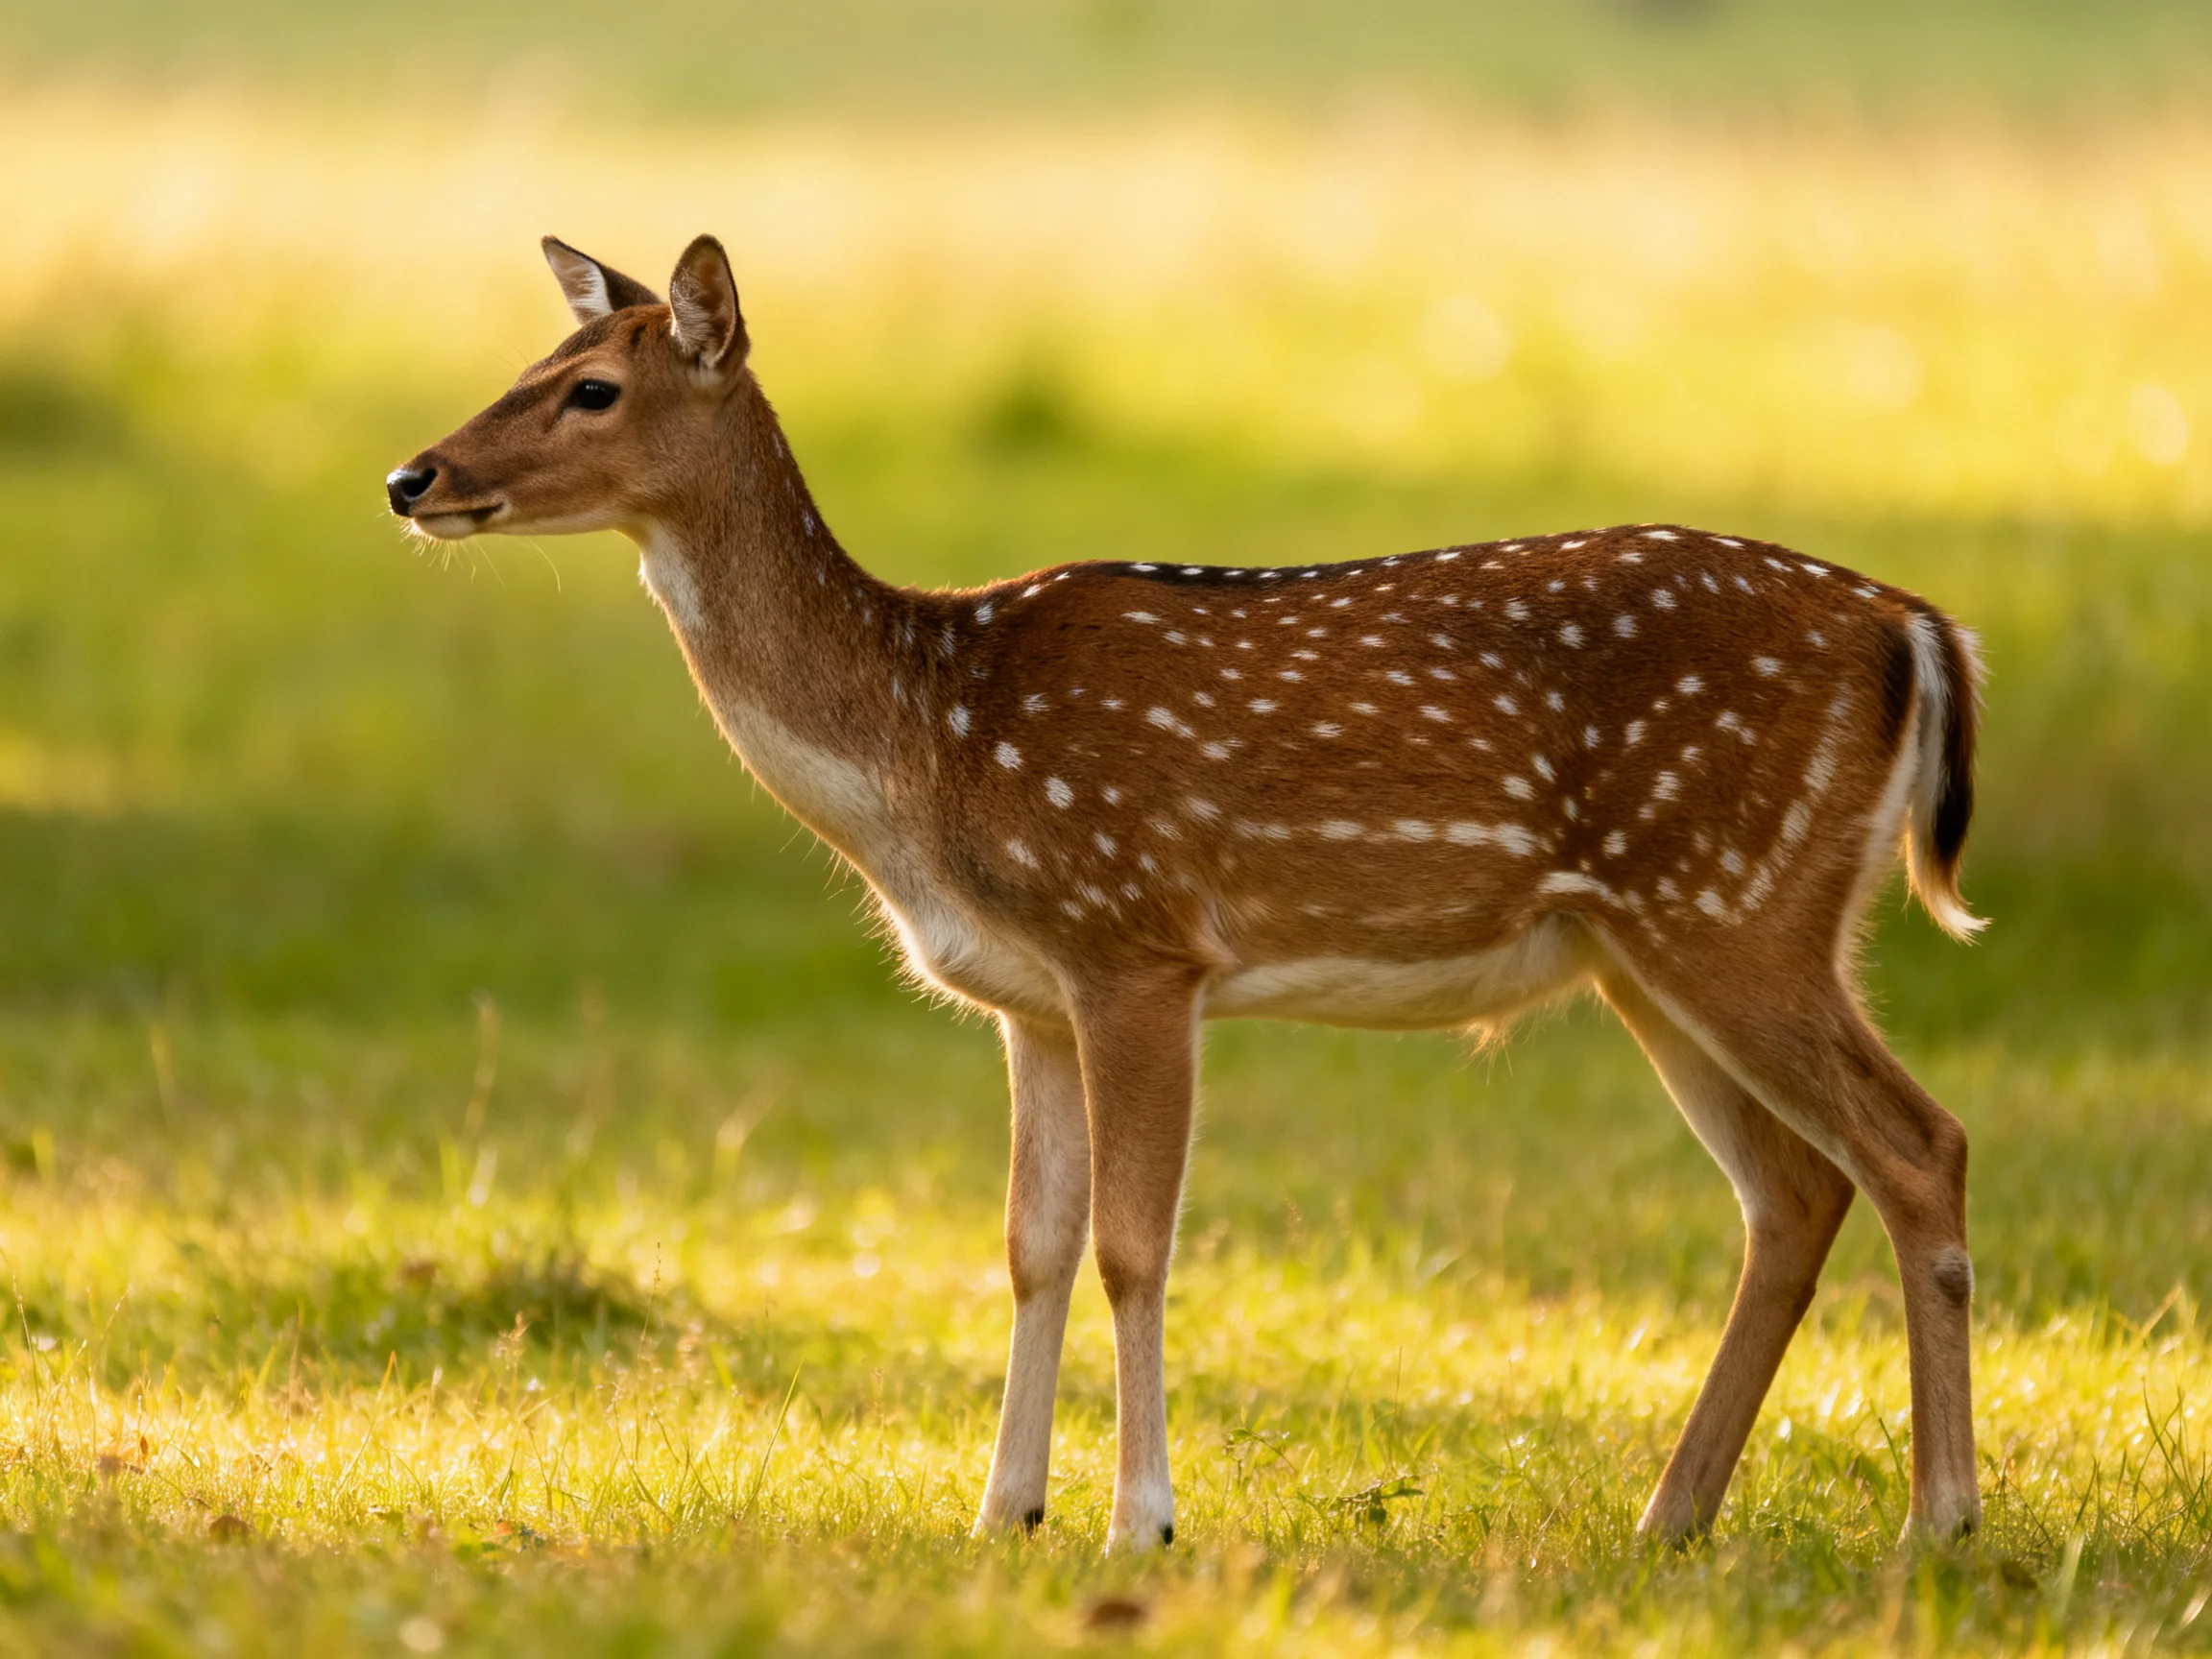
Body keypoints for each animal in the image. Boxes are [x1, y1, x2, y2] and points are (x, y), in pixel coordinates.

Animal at [386, 234, 1987, 1552]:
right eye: (524, 367)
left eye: (591, 390)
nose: (413, 477)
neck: (927, 748)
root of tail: (1919, 630)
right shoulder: (1025, 1000)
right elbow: (1028, 1247)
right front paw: (1002, 1513)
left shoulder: (1136, 946)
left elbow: (1131, 1245)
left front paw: (1138, 1523)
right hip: (1646, 947)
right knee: (1795, 1189)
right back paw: (1673, 1516)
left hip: (1737, 906)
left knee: (1919, 1145)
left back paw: (1940, 1522)